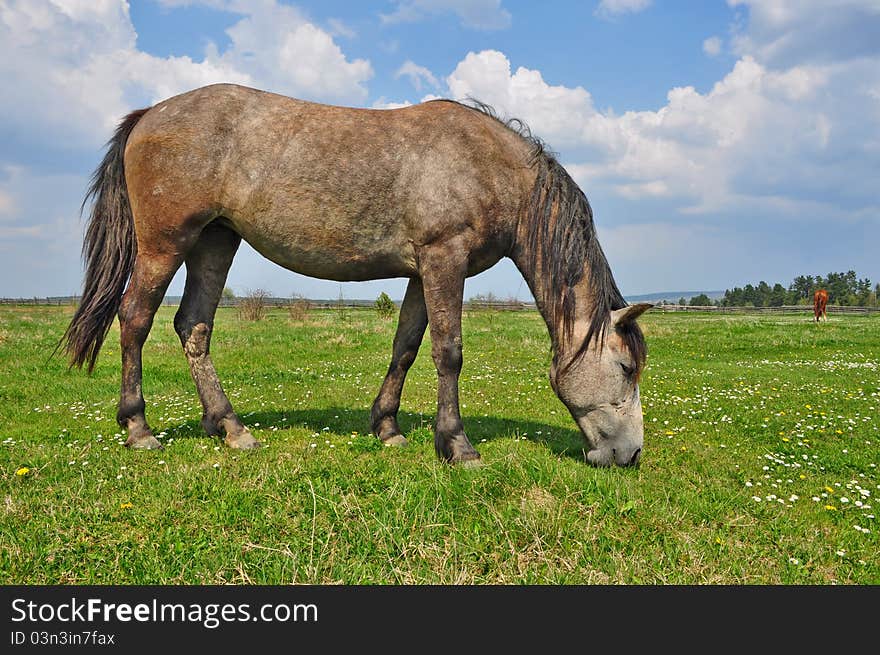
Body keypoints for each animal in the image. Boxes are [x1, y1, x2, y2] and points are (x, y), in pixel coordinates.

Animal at [63, 84, 652, 468]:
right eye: (626, 368)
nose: (629, 454)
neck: (488, 165)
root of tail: (150, 114)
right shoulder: (445, 259)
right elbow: (448, 352)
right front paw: (457, 445)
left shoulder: (422, 271)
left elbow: (406, 347)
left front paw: (388, 428)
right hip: (165, 244)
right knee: (135, 320)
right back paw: (139, 429)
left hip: (215, 242)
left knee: (193, 326)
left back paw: (230, 428)